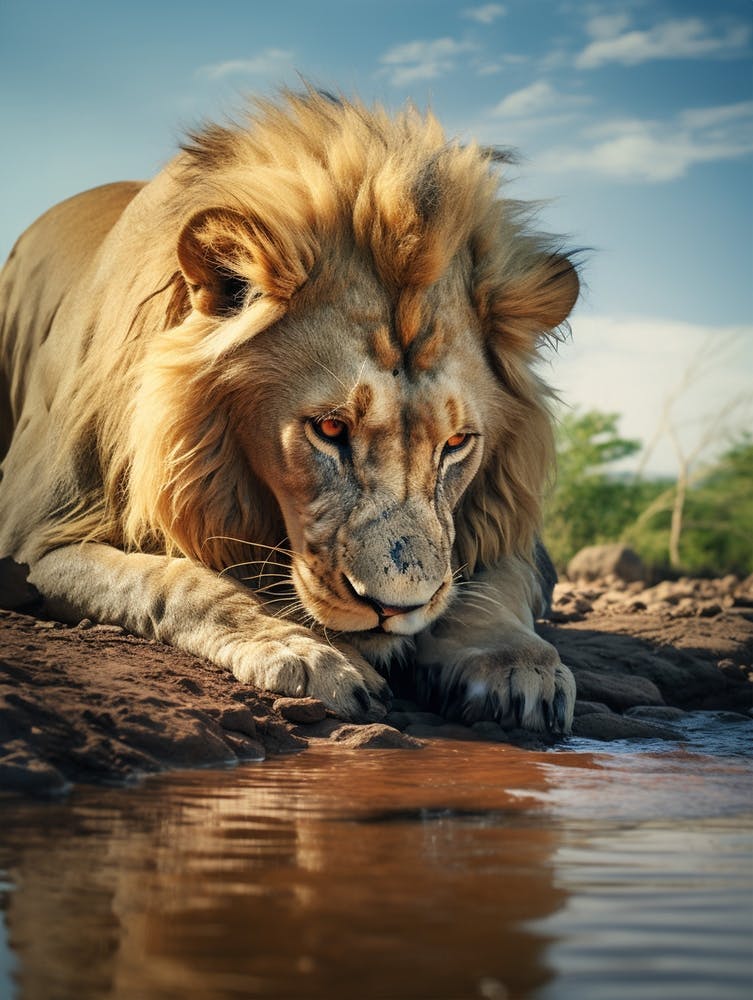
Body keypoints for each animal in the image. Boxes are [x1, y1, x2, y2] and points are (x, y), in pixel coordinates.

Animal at [0, 90, 579, 732]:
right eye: (330, 428)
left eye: (455, 444)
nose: (392, 607)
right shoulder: (35, 537)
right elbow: (175, 580)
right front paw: (307, 651)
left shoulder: (511, 533)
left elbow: (498, 587)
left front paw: (516, 666)